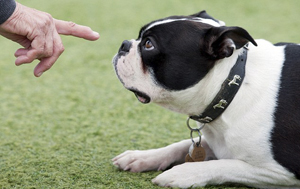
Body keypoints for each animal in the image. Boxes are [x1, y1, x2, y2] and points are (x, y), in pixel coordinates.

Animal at [111, 10, 300, 189]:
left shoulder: (280, 172)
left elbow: (226, 165)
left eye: (148, 44)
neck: (231, 87)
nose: (124, 44)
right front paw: (141, 156)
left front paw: (181, 173)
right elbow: (181, 145)